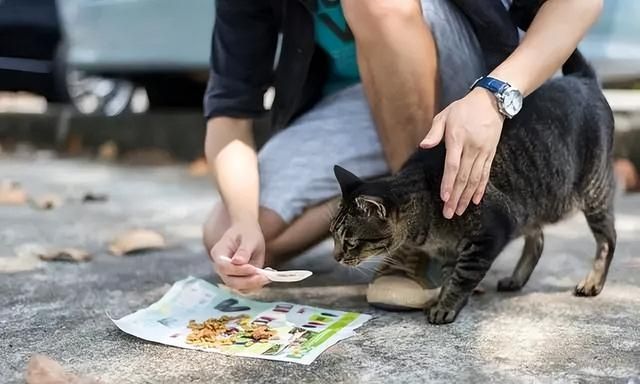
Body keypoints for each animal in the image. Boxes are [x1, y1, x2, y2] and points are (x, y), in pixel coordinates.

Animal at [330, 50, 616, 324]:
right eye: (333, 235)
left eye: (351, 242)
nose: (336, 257)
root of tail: (582, 78)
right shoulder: (449, 252)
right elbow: (449, 275)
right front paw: (444, 298)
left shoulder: (488, 236)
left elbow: (462, 277)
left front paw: (445, 307)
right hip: (530, 202)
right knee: (538, 238)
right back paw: (516, 279)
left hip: (594, 190)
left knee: (607, 239)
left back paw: (593, 282)